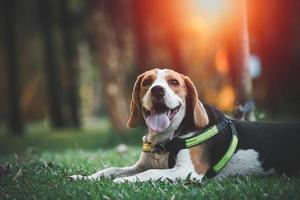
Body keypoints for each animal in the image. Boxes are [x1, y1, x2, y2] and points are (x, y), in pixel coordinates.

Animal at [70, 67, 300, 183]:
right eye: (146, 82)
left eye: (174, 82)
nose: (157, 90)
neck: (166, 139)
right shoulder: (140, 164)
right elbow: (110, 169)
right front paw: (84, 177)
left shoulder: (187, 171)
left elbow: (148, 173)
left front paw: (124, 181)